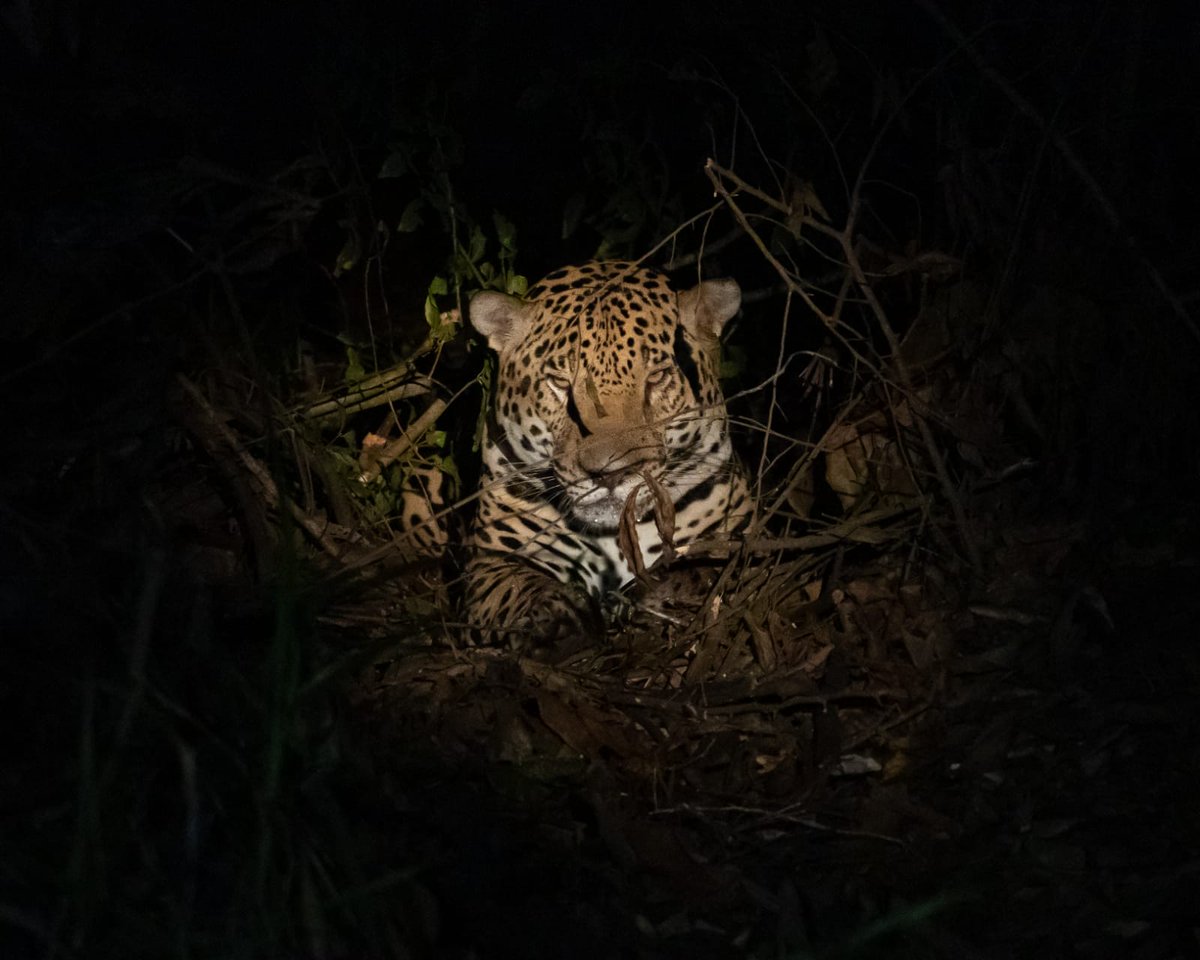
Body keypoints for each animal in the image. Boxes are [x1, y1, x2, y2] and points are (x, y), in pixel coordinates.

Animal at [466, 260, 751, 646]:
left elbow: (710, 567)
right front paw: (557, 613)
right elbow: (513, 585)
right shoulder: (490, 557)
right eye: (561, 383)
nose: (610, 474)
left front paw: (655, 593)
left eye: (658, 377)